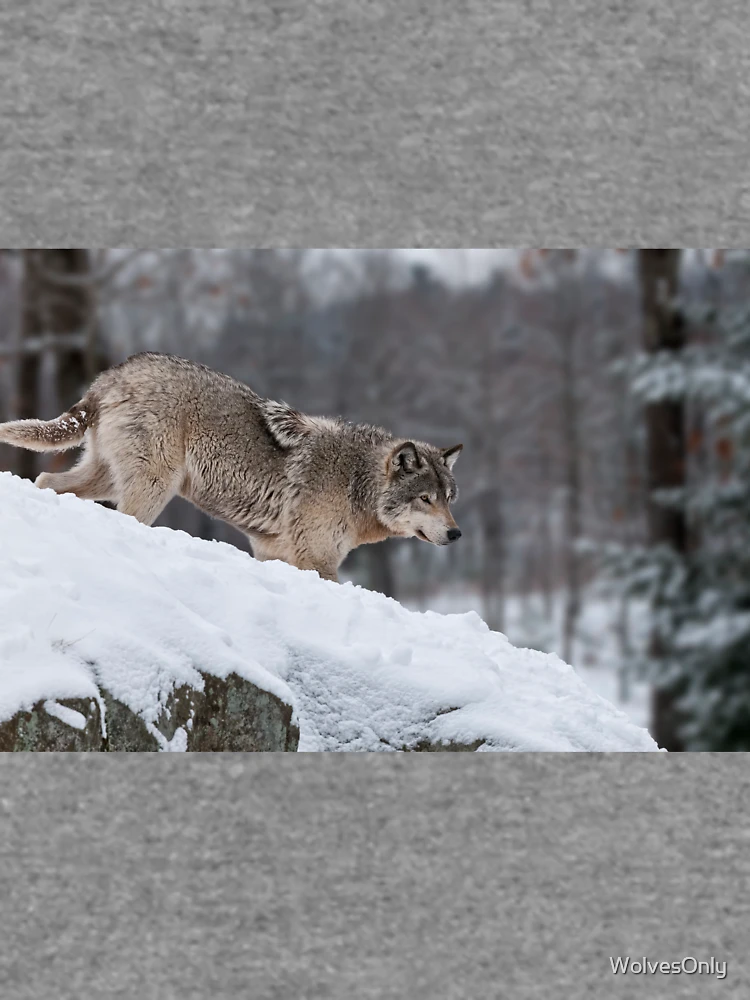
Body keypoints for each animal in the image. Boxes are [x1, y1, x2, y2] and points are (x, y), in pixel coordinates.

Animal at [0, 353, 463, 581]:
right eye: (426, 499)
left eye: (450, 499)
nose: (457, 534)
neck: (355, 480)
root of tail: (112, 375)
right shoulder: (317, 560)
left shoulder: (274, 553)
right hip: (151, 489)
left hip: (105, 479)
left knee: (47, 478)